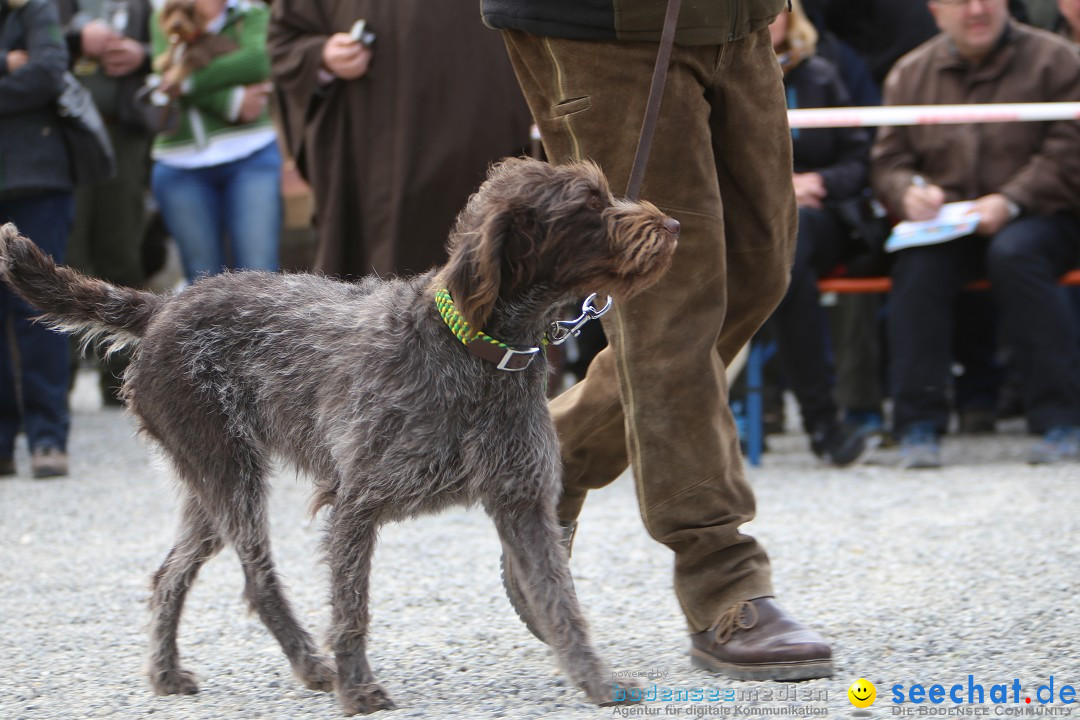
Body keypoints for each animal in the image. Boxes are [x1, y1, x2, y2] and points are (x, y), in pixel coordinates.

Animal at [0, 157, 673, 716]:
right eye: (588, 206)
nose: (671, 222)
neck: (475, 352)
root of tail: (163, 306)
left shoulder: (524, 504)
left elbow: (563, 606)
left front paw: (597, 681)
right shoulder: (356, 502)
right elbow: (352, 608)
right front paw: (357, 688)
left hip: (210, 486)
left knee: (170, 575)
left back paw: (166, 673)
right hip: (232, 477)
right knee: (258, 580)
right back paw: (309, 664)